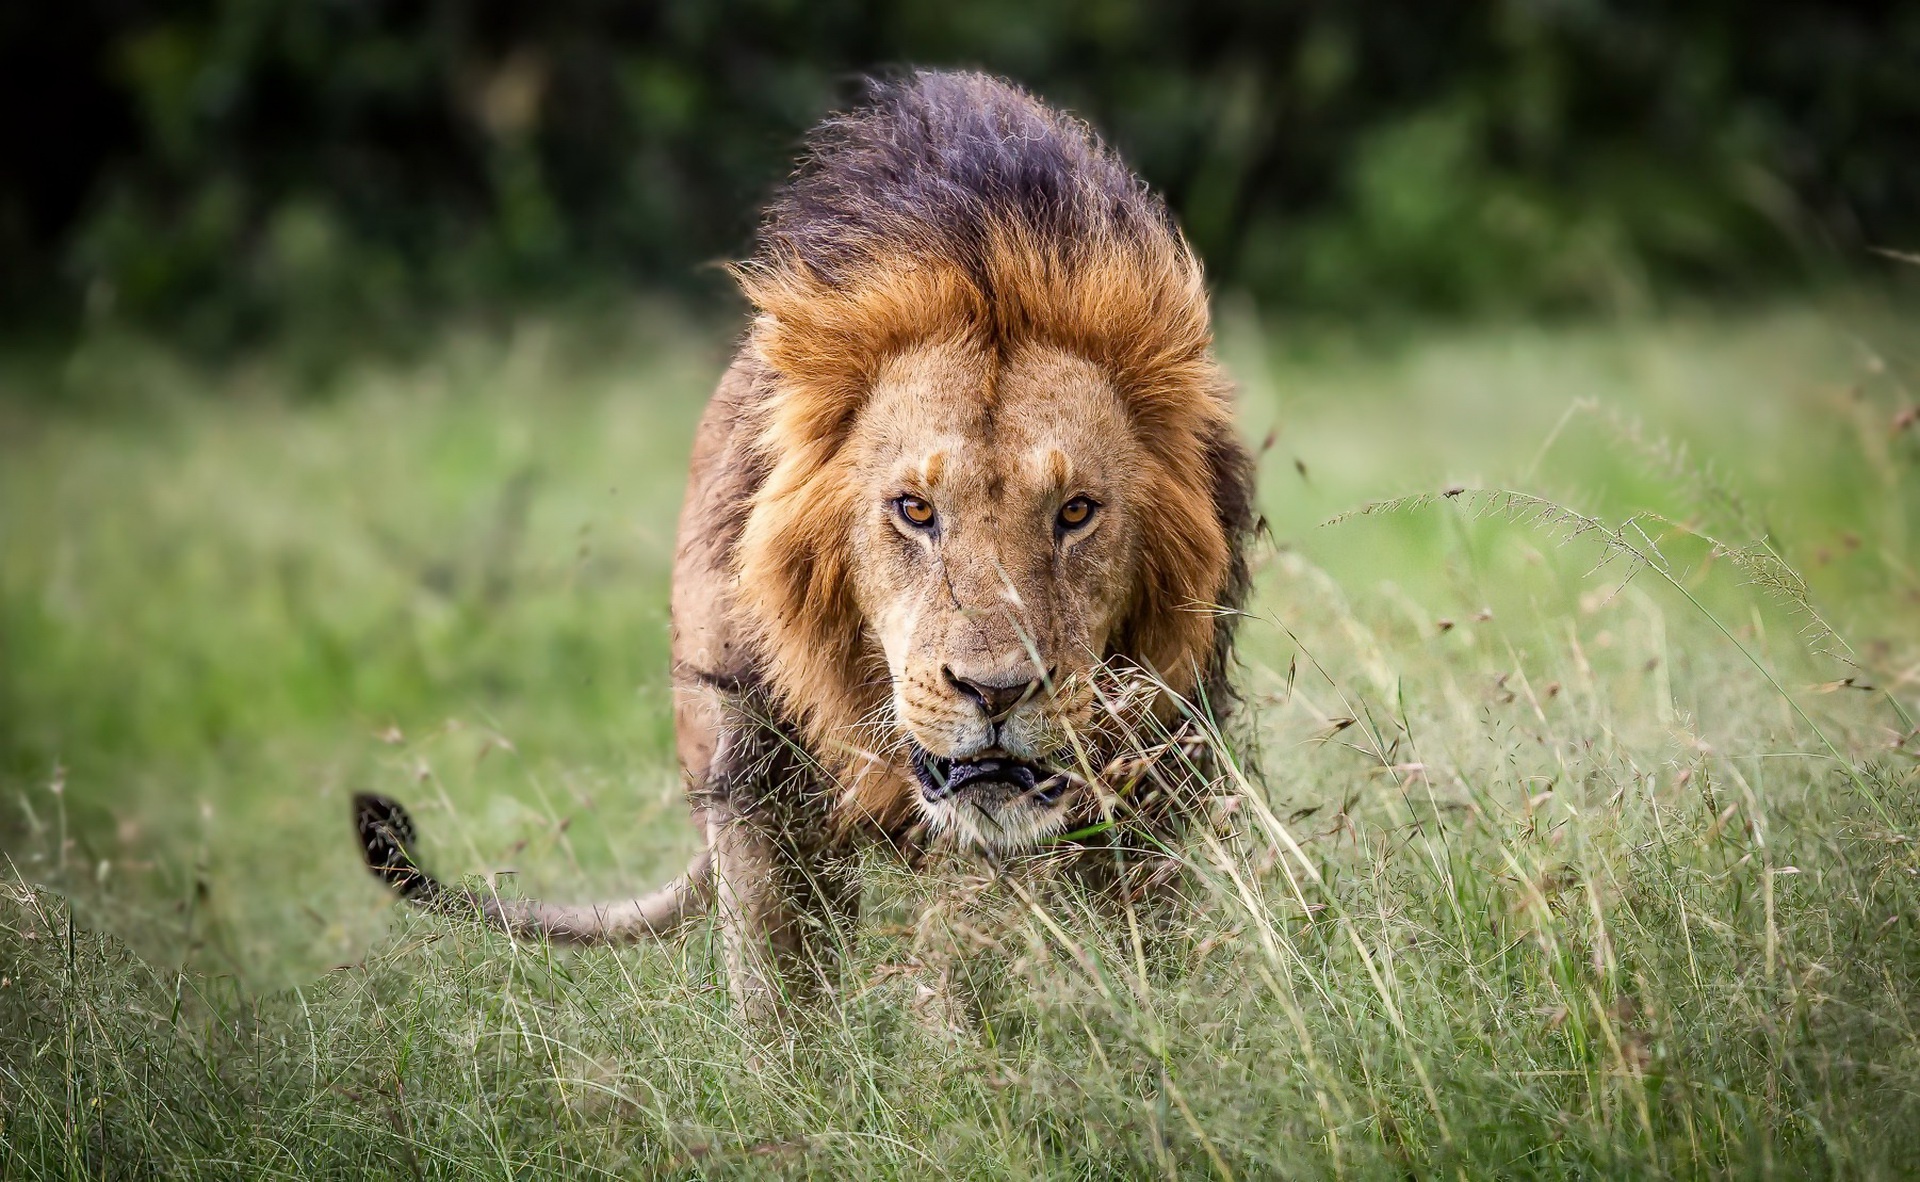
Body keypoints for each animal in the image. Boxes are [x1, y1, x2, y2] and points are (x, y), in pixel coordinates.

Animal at [359, 69, 1259, 1013]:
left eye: (1077, 512)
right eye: (914, 510)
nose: (997, 693)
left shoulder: (1158, 771)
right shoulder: (756, 772)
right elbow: (782, 997)